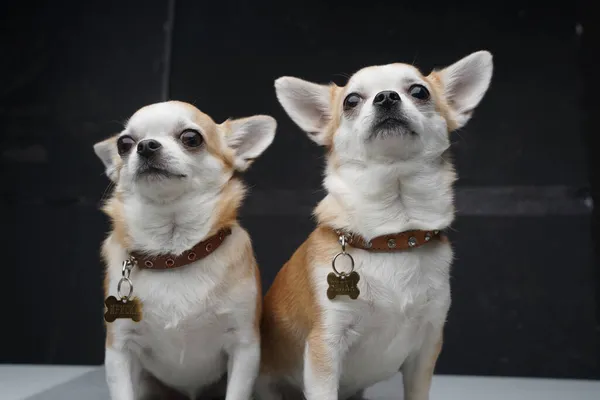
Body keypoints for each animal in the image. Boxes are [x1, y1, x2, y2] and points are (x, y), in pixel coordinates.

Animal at [94, 101, 276, 400]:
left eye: (191, 138)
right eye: (124, 144)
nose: (146, 146)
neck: (173, 256)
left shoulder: (244, 347)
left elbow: (236, 391)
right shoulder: (119, 351)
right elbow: (123, 391)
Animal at [258, 50, 492, 400]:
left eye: (419, 91)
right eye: (351, 101)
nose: (386, 97)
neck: (392, 237)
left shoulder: (426, 349)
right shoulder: (324, 348)